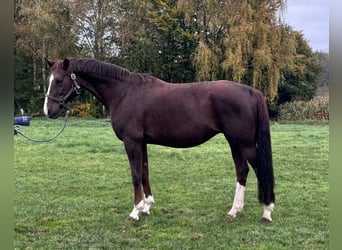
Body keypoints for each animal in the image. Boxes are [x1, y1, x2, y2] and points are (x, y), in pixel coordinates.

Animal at [43, 58, 276, 223]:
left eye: (59, 80)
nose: (48, 111)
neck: (124, 92)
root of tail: (250, 90)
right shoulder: (142, 142)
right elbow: (145, 171)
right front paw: (147, 206)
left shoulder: (131, 142)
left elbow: (135, 175)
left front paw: (135, 211)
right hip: (235, 142)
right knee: (242, 171)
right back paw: (234, 211)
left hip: (244, 143)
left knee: (259, 170)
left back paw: (266, 211)